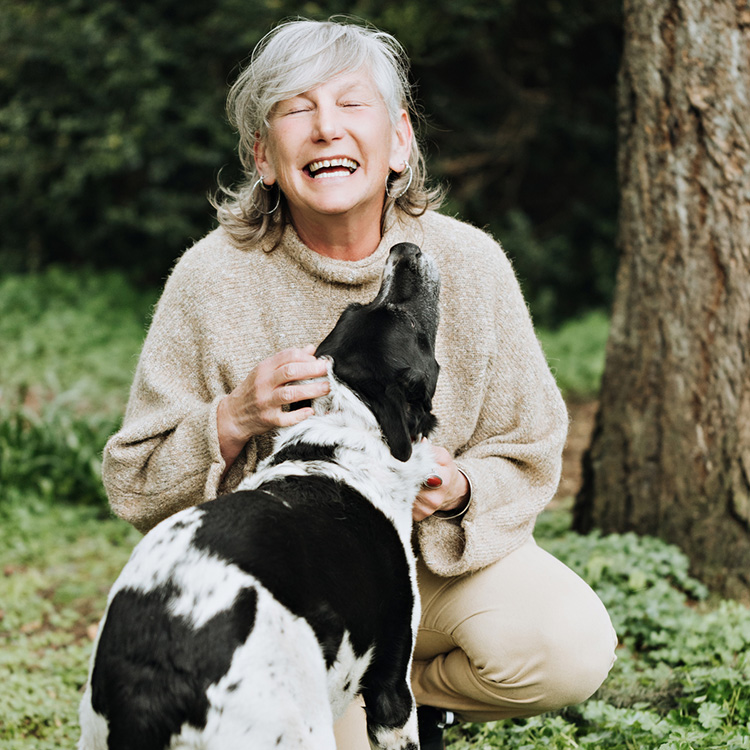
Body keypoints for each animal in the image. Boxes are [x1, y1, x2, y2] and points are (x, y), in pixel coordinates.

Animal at [78, 245, 440, 750]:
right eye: (406, 325)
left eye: (355, 309)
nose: (403, 249)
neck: (345, 429)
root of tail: (152, 678)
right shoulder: (392, 689)